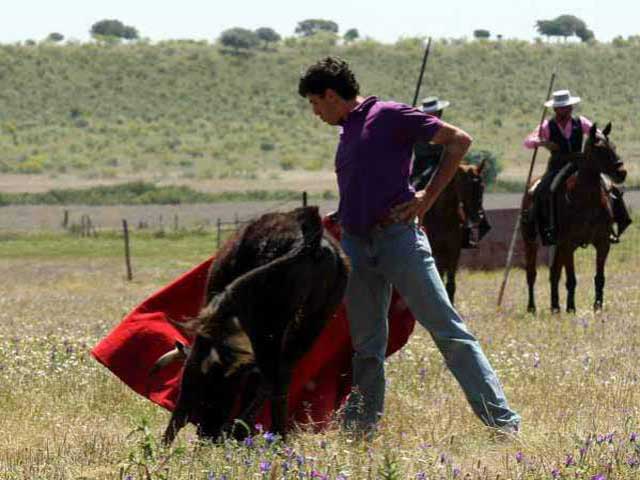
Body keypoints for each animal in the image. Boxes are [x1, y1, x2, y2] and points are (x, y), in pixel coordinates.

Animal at [420, 161, 490, 304]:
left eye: (482, 186)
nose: (477, 217)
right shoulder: (435, 252)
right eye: (466, 187)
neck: (443, 215)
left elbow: (451, 284)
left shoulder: (454, 251)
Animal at [520, 122, 624, 314]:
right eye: (599, 149)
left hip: (558, 246)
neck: (586, 199)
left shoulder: (602, 243)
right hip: (531, 241)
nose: (622, 172)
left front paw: (597, 306)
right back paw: (532, 307)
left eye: (613, 146)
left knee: (554, 273)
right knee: (531, 274)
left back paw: (555, 307)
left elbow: (599, 277)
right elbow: (571, 279)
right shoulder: (568, 244)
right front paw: (571, 308)